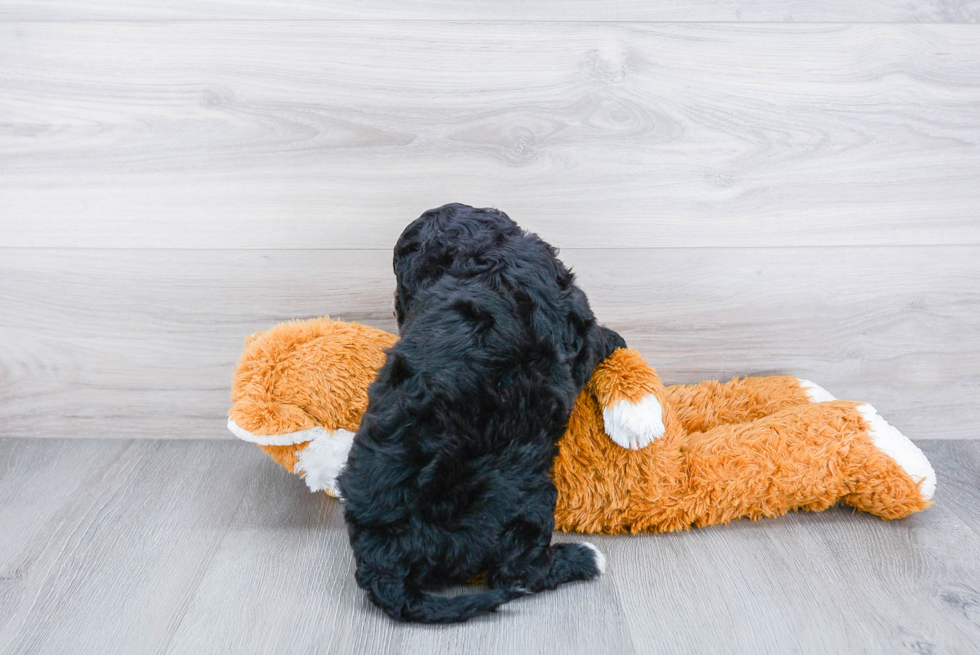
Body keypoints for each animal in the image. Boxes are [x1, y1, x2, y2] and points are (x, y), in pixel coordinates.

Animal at [340, 202, 624, 624]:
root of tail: (382, 564)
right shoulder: (577, 325)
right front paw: (615, 338)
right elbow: (594, 337)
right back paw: (584, 558)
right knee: (516, 573)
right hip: (526, 498)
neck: (479, 257)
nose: (397, 306)